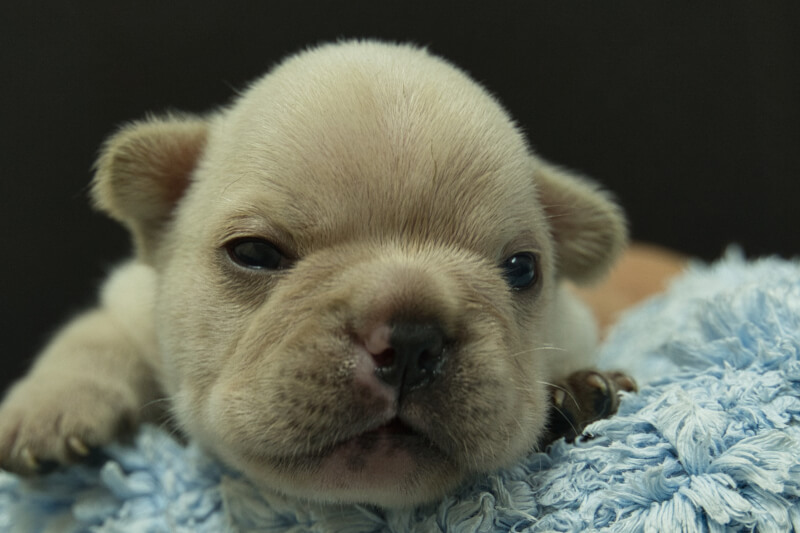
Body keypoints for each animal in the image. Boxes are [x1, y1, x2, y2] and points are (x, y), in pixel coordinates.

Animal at [1, 39, 636, 504]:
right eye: (254, 254)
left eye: (521, 269)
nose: (412, 339)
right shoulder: (130, 302)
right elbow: (92, 338)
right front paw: (50, 407)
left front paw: (577, 390)